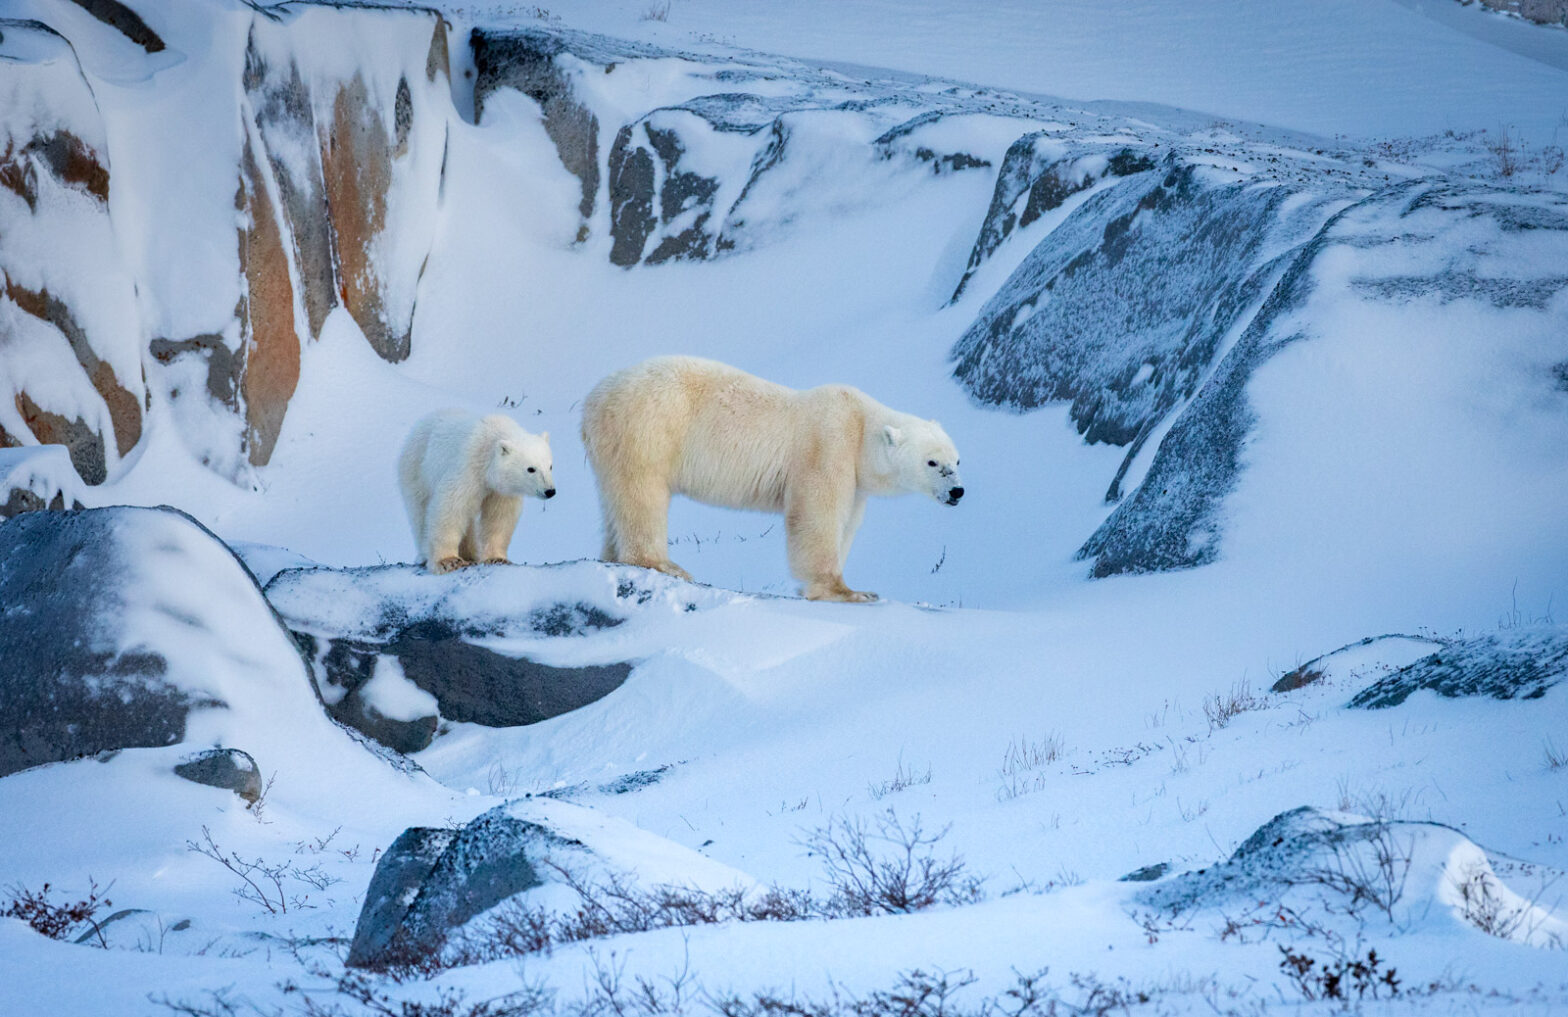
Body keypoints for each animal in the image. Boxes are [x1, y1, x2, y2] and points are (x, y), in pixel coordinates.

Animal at [397, 410, 555, 574]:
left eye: (550, 466)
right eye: (531, 469)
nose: (550, 491)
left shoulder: (500, 490)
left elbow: (499, 517)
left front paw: (497, 558)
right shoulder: (468, 467)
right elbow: (450, 507)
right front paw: (448, 561)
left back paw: (470, 555)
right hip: (417, 469)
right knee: (420, 512)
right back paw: (425, 555)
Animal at [581, 356, 963, 602]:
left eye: (957, 460)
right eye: (932, 462)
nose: (958, 491)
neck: (860, 427)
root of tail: (593, 399)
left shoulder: (855, 481)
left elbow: (848, 524)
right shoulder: (828, 447)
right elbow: (817, 515)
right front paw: (849, 592)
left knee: (613, 500)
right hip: (648, 427)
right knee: (643, 494)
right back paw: (664, 564)